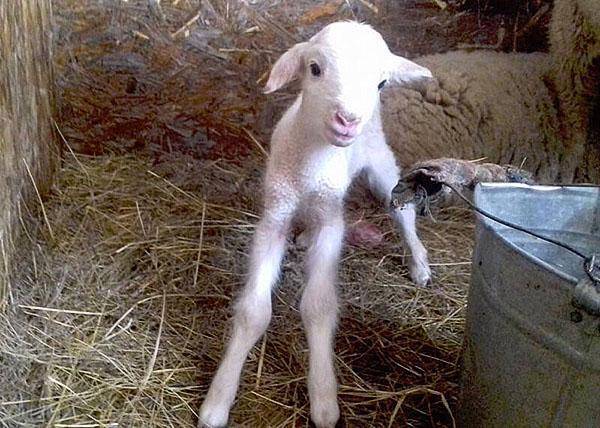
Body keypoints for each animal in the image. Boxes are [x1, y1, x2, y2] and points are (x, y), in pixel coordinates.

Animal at [199, 22, 434, 428]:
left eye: (381, 82)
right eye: (314, 69)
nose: (347, 120)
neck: (310, 167)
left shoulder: (331, 224)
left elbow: (319, 306)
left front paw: (324, 398)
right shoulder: (274, 217)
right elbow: (253, 311)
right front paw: (218, 399)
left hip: (381, 166)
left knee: (402, 213)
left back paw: (418, 263)